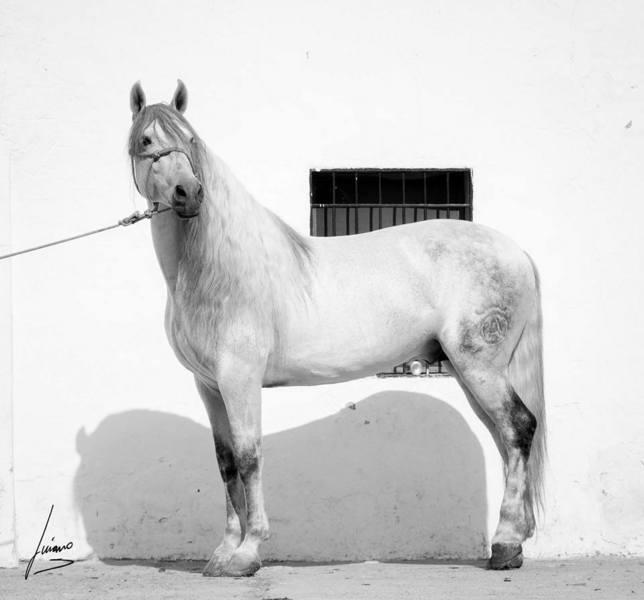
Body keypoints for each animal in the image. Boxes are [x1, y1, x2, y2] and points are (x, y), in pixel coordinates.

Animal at [127, 80, 545, 577]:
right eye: (146, 140)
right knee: (505, 437)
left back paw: (504, 544)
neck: (216, 270)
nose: (189, 194)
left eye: (190, 140)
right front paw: (224, 552)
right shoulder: (209, 386)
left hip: (480, 366)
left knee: (519, 428)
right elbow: (226, 462)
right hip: (470, 372)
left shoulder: (239, 379)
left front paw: (248, 553)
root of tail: (516, 251)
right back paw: (514, 543)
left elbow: (249, 457)